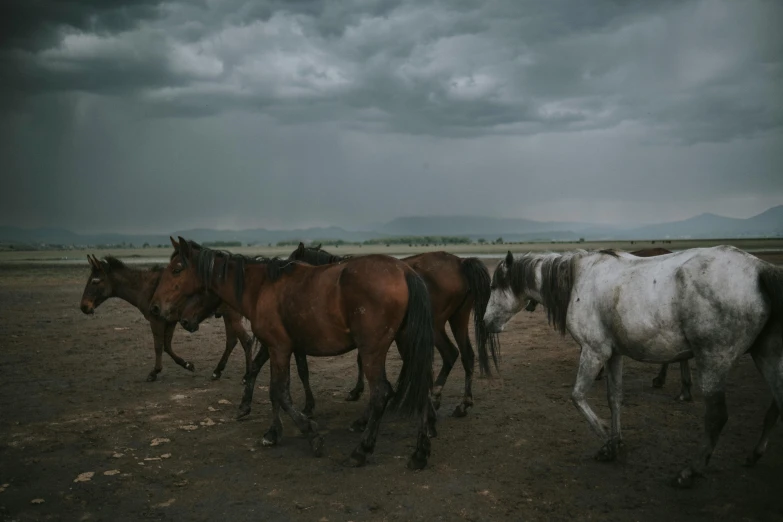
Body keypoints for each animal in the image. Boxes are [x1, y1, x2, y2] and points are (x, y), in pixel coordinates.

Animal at [79, 254, 253, 380]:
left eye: (95, 281)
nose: (84, 307)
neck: (146, 287)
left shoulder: (156, 320)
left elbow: (158, 346)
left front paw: (154, 372)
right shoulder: (169, 321)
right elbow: (167, 346)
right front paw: (187, 364)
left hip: (231, 316)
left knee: (246, 341)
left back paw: (246, 375)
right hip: (227, 316)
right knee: (232, 341)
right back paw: (217, 371)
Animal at [150, 237, 438, 468]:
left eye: (176, 269)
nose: (156, 307)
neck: (261, 288)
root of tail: (405, 271)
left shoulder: (279, 348)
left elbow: (280, 391)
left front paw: (311, 434)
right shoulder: (280, 349)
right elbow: (274, 388)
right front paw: (273, 432)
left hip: (372, 351)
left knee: (381, 393)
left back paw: (361, 451)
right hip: (407, 344)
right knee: (421, 387)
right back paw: (420, 453)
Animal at [288, 242, 502, 416]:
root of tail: (460, 262)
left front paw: (358, 392)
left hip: (436, 326)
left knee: (450, 354)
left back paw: (435, 397)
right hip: (459, 319)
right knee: (468, 355)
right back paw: (463, 404)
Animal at [486, 246, 780, 486]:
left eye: (494, 286)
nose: (486, 322)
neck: (580, 278)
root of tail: (760, 269)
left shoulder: (594, 351)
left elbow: (578, 397)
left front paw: (607, 440)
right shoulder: (613, 355)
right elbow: (614, 398)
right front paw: (615, 442)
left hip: (713, 362)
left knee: (717, 417)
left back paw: (690, 472)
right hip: (766, 356)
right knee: (776, 405)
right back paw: (754, 454)